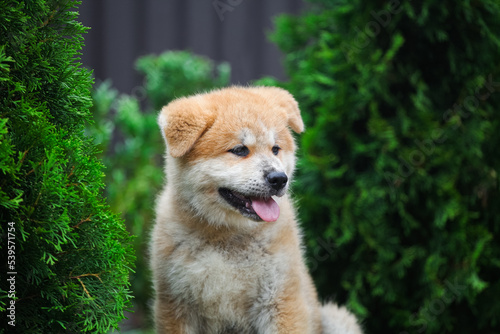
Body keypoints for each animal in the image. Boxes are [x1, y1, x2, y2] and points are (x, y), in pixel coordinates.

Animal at [149, 87, 364, 334]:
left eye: (275, 149)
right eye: (240, 150)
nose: (279, 179)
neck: (227, 238)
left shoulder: (281, 298)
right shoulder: (175, 304)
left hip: (336, 317)